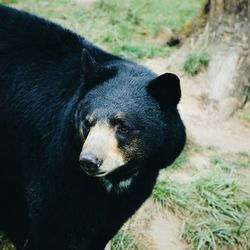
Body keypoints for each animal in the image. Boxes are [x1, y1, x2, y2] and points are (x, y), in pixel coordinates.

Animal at [0, 3, 186, 250]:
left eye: (122, 126)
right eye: (88, 122)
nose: (89, 161)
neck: (116, 179)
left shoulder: (145, 174)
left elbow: (110, 223)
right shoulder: (57, 162)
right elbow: (53, 220)